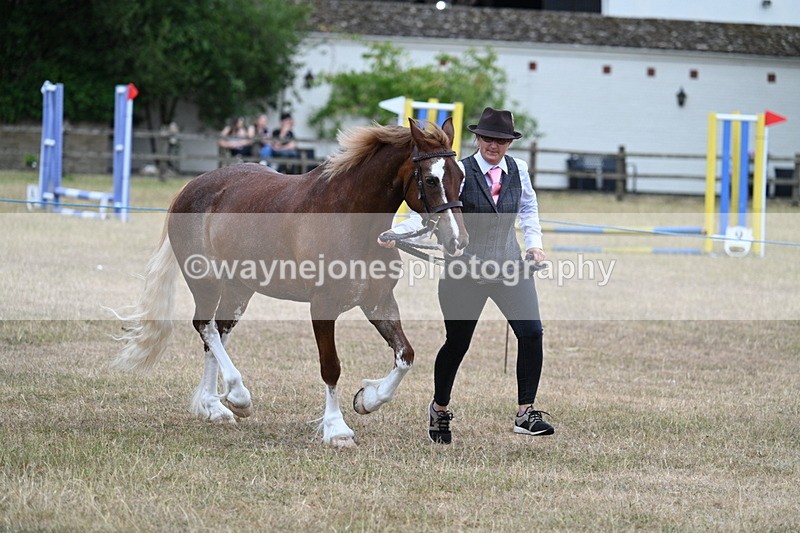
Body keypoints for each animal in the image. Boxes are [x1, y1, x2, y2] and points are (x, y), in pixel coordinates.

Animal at [112, 118, 468, 447]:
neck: (350, 219)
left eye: (461, 176)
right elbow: (331, 367)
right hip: (206, 282)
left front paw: (367, 399)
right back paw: (238, 396)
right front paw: (337, 429)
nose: (458, 240)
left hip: (239, 289)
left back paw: (214, 406)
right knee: (205, 327)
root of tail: (189, 188)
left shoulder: (378, 302)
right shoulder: (322, 306)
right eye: (432, 178)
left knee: (217, 333)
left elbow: (405, 355)